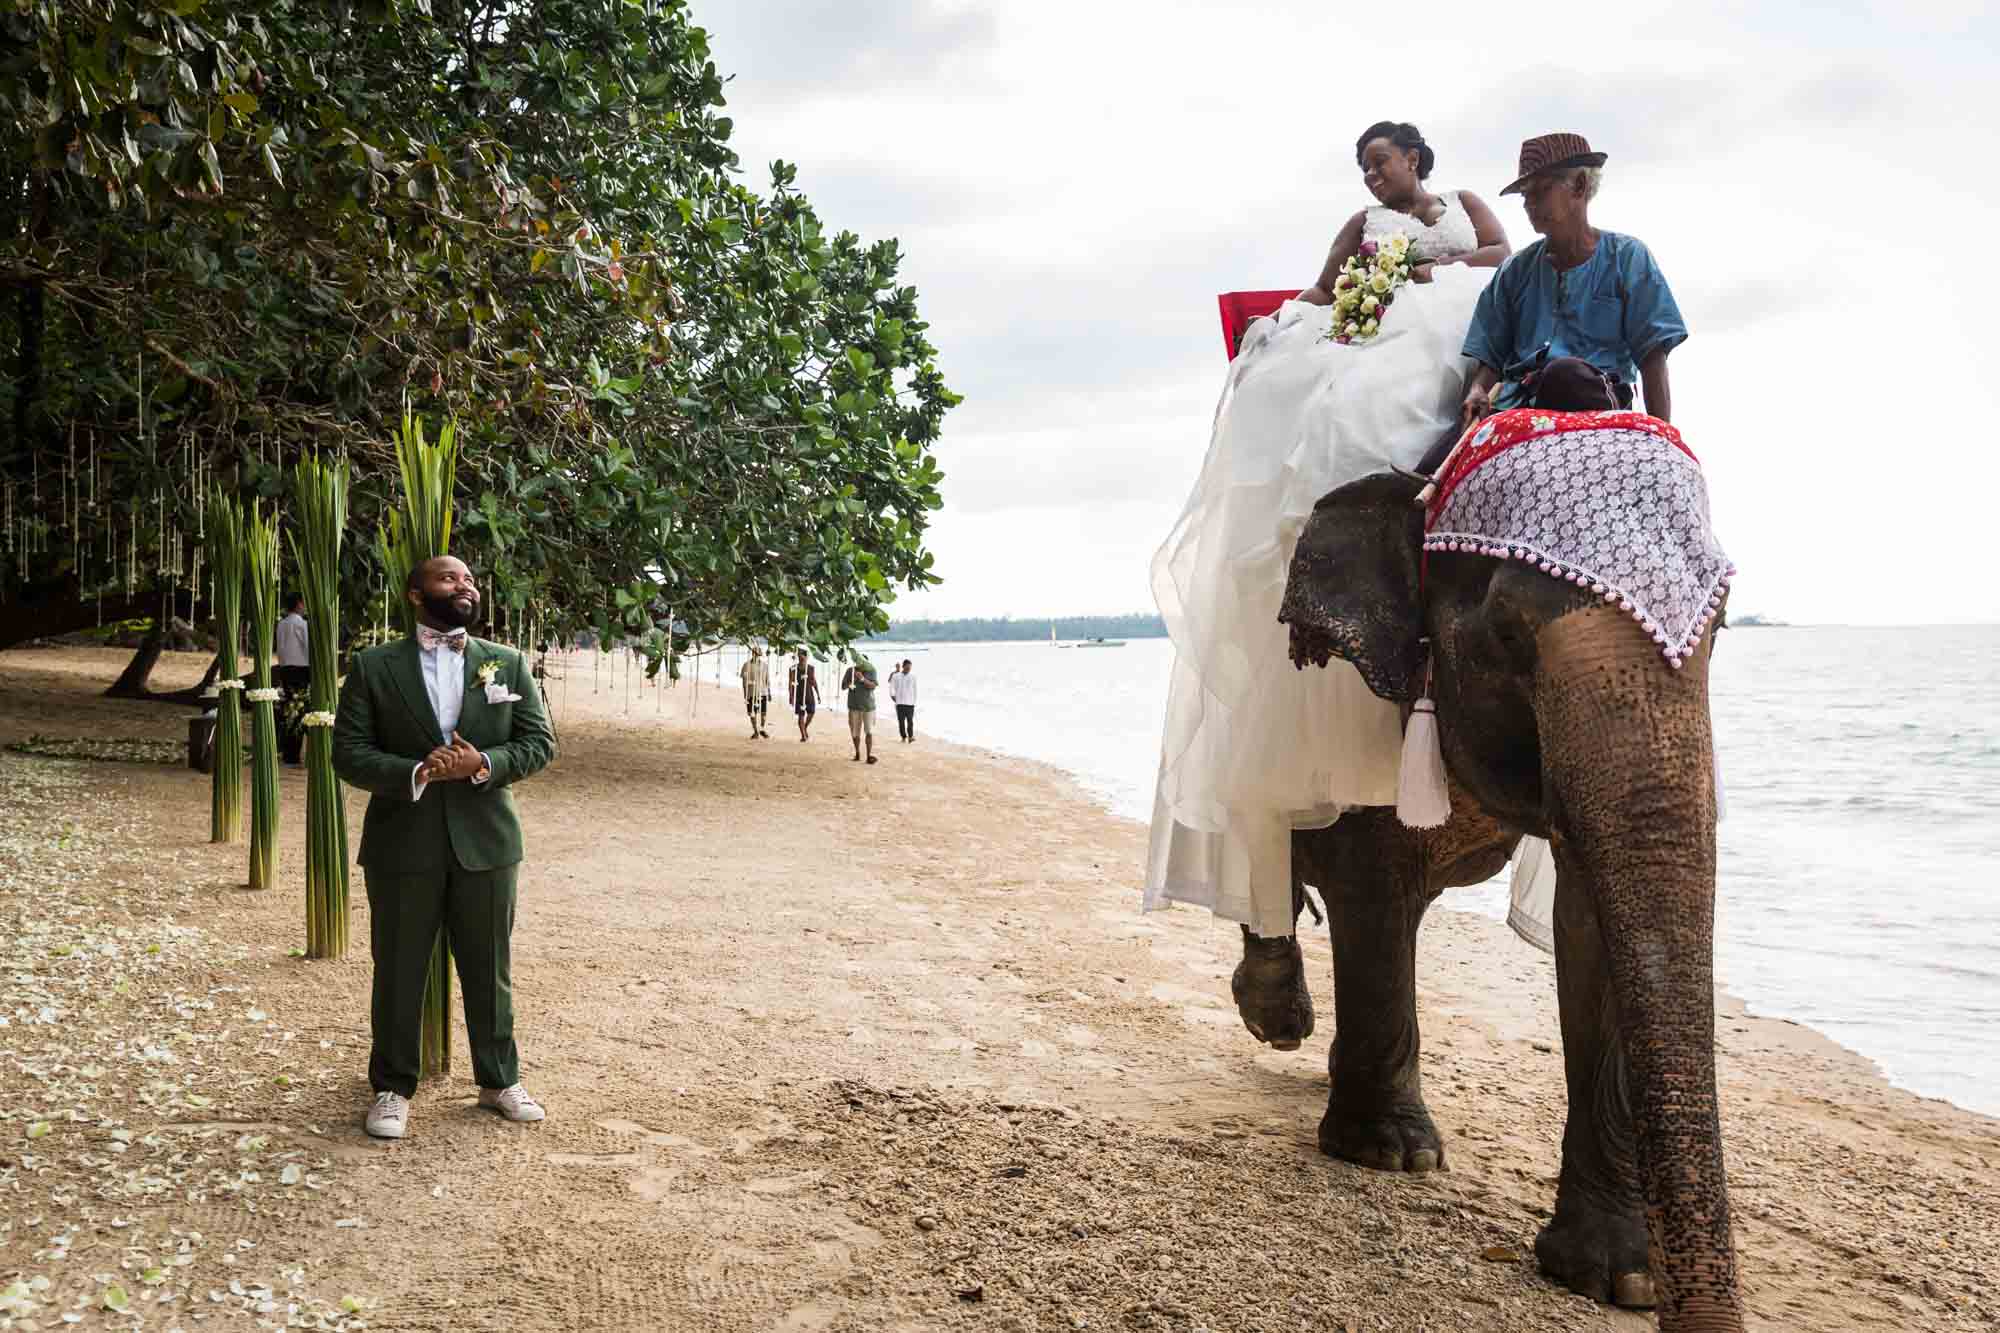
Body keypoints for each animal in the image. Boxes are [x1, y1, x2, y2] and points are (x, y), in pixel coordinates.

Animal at [1216, 466, 1736, 1328]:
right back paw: (1278, 1019)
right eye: (1508, 634)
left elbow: (1592, 917)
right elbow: (1371, 880)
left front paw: (1621, 1279)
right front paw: (1391, 1154)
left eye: (1719, 629)